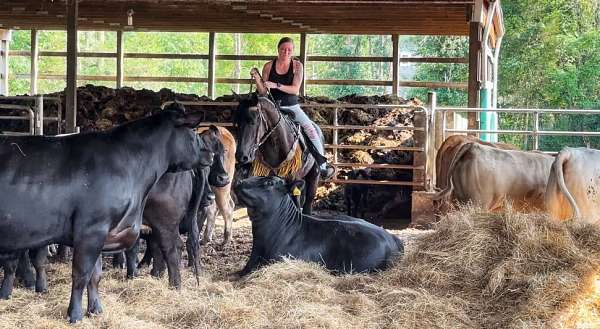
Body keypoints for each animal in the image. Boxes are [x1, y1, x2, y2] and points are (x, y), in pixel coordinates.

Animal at [0, 105, 218, 322]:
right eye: (193, 131)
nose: (211, 155)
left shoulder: (103, 231)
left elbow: (95, 275)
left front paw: (95, 309)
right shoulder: (91, 230)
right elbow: (81, 275)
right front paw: (76, 314)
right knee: (171, 249)